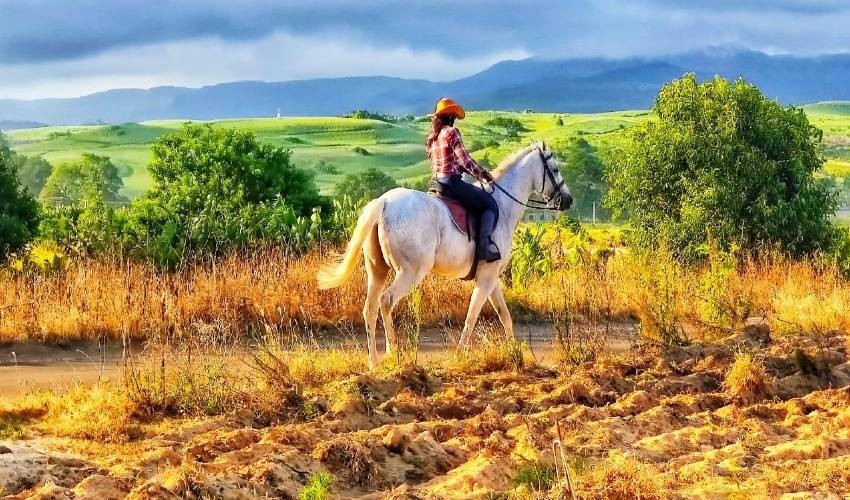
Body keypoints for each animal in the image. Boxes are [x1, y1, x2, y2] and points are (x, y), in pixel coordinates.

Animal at [316, 142, 568, 368]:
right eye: (555, 169)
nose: (568, 200)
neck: (503, 207)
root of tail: (384, 202)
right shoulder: (486, 278)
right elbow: (472, 315)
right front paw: (460, 355)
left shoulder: (490, 277)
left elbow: (504, 314)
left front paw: (515, 353)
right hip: (411, 272)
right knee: (386, 301)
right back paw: (393, 353)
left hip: (377, 270)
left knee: (370, 308)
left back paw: (373, 362)